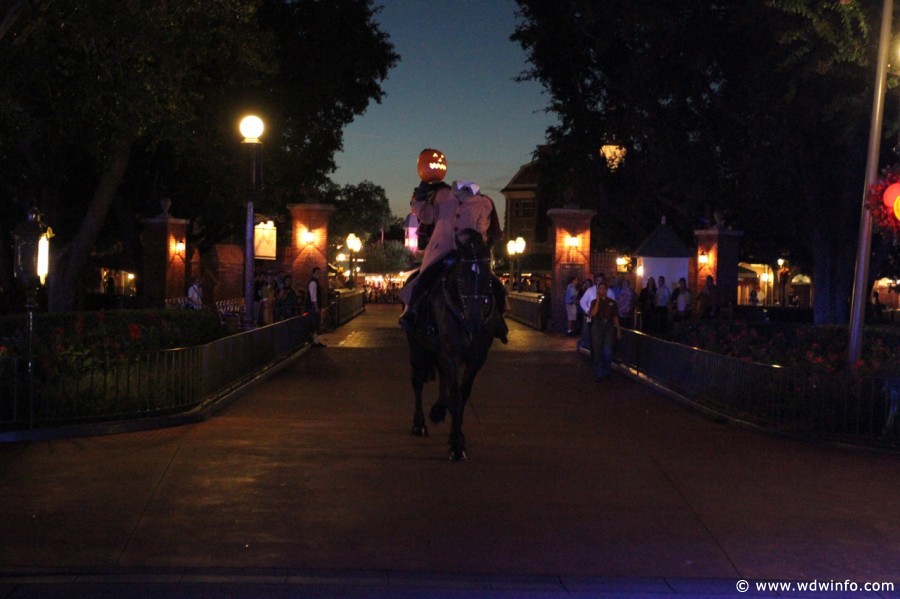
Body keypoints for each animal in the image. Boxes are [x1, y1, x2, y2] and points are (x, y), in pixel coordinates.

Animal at [408, 229, 500, 460]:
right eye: (460, 276)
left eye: (488, 278)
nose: (474, 322)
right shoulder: (451, 354)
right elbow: (456, 395)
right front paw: (457, 444)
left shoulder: (477, 357)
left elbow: (462, 393)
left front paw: (456, 434)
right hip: (416, 347)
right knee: (418, 381)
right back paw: (419, 423)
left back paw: (439, 410)